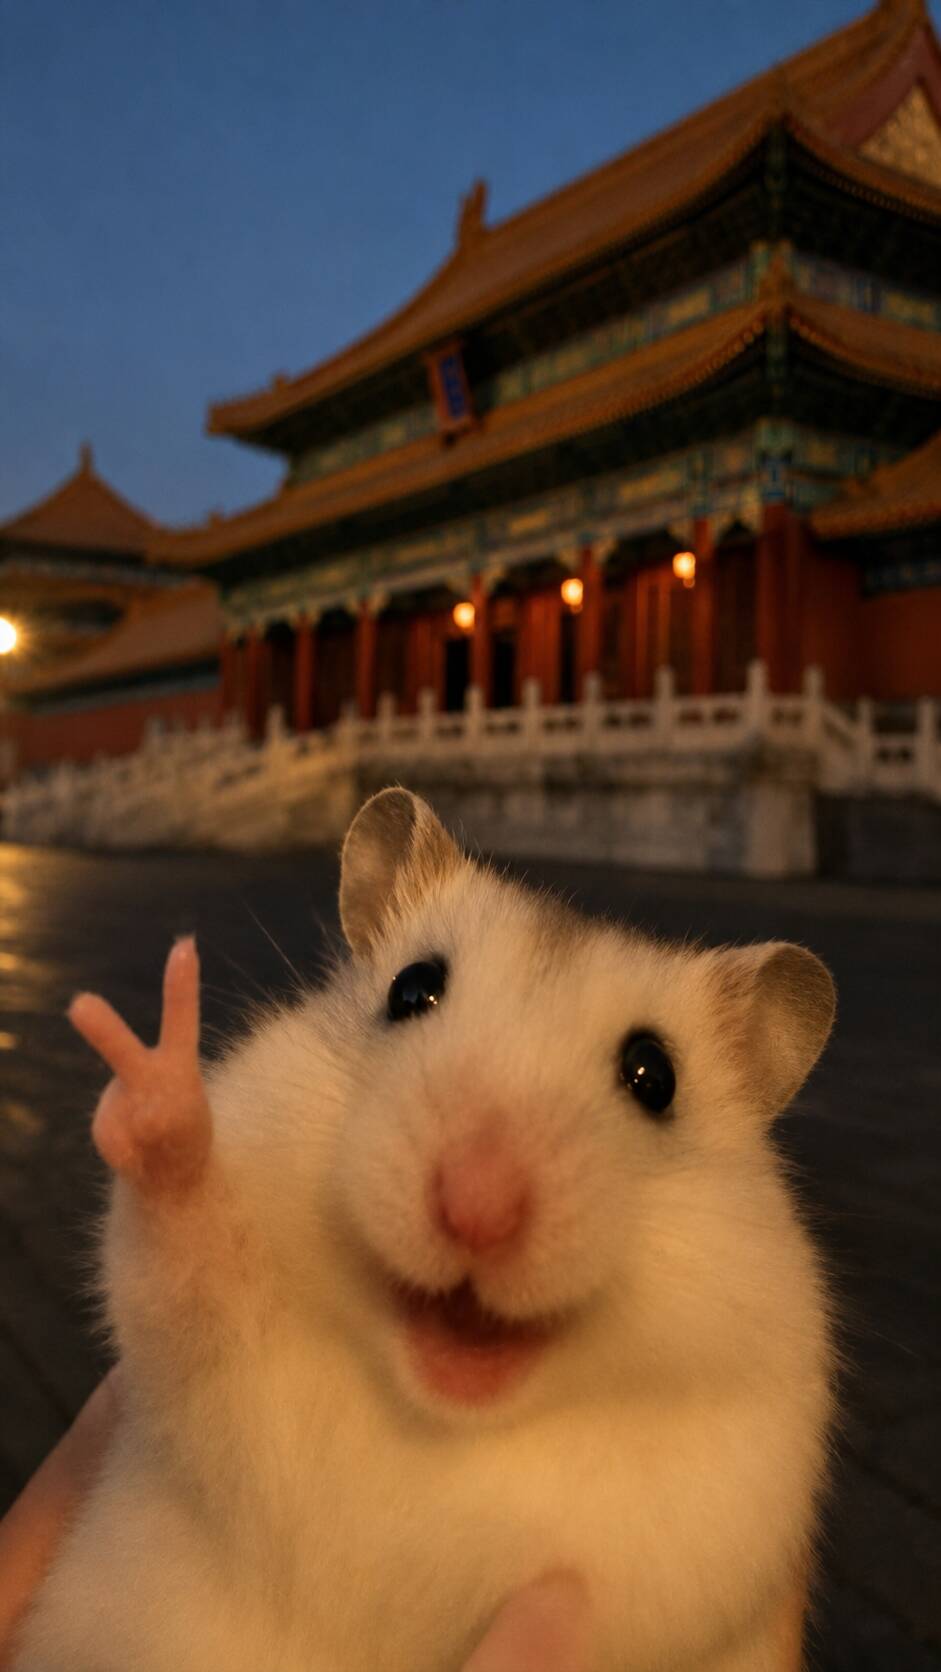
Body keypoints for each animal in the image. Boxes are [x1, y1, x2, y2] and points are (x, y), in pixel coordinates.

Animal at [11, 787, 836, 1672]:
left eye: (654, 1076)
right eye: (411, 990)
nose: (476, 1208)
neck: (444, 1422)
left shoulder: (716, 1523)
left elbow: (580, 1614)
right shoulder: (225, 1372)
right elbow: (189, 1260)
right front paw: (159, 1083)